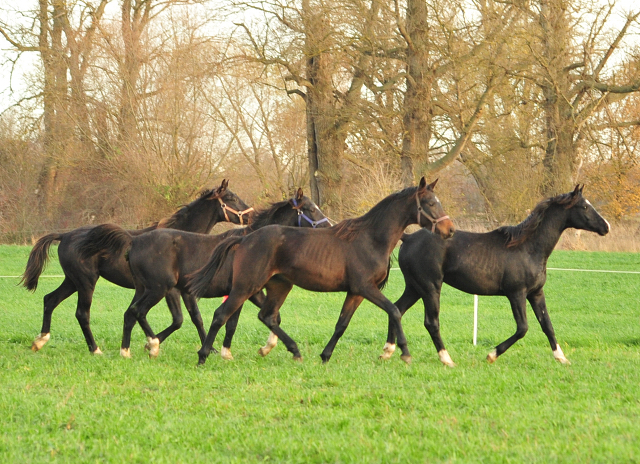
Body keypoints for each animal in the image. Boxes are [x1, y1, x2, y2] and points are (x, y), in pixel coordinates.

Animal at [20, 179, 250, 354]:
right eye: (231, 198)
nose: (249, 214)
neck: (182, 238)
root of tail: (65, 235)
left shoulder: (181, 289)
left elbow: (196, 318)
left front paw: (210, 348)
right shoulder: (171, 290)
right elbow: (178, 319)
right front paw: (151, 343)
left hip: (72, 281)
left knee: (49, 300)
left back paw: (39, 341)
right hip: (86, 283)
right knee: (82, 314)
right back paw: (95, 349)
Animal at [78, 188, 330, 358]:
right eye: (310, 209)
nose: (329, 227)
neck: (249, 242)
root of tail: (134, 241)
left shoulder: (251, 292)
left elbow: (269, 317)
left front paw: (260, 349)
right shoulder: (241, 291)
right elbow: (231, 321)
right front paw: (225, 352)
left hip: (144, 289)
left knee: (130, 314)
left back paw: (128, 350)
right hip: (158, 289)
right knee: (136, 312)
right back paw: (150, 346)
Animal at [185, 177, 456, 366]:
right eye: (430, 203)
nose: (450, 229)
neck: (370, 238)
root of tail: (245, 238)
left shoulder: (355, 292)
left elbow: (342, 324)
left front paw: (325, 355)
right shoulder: (366, 287)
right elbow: (394, 311)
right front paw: (402, 352)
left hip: (278, 286)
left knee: (267, 316)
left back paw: (293, 351)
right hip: (245, 286)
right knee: (221, 315)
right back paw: (203, 355)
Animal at [380, 185, 608, 366]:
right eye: (584, 206)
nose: (606, 226)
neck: (528, 247)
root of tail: (408, 238)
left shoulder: (536, 294)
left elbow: (548, 326)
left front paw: (561, 357)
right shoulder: (516, 293)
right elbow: (523, 328)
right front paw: (491, 355)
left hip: (414, 287)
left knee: (396, 309)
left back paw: (388, 351)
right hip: (430, 287)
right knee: (430, 322)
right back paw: (446, 359)